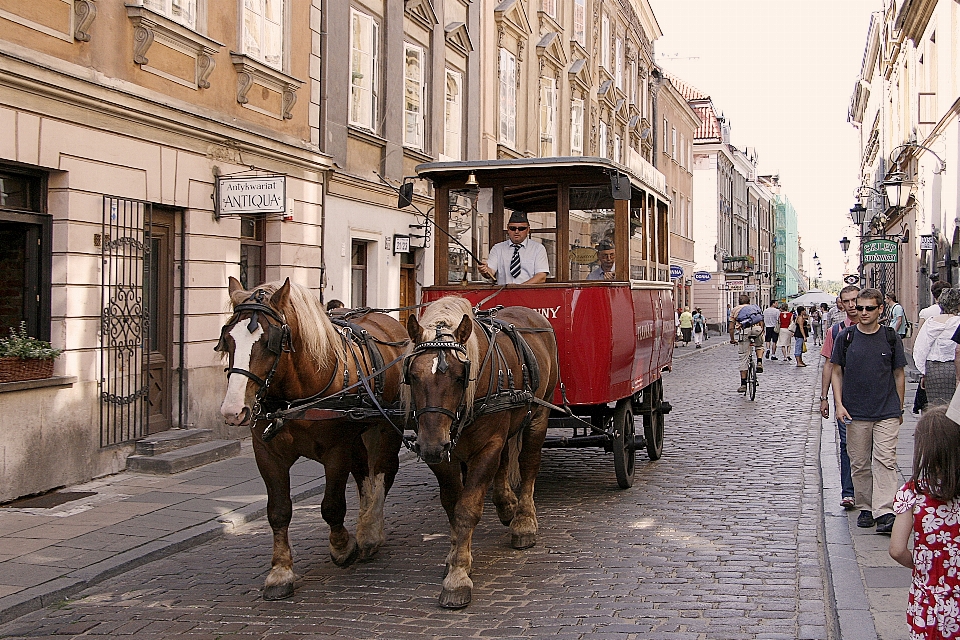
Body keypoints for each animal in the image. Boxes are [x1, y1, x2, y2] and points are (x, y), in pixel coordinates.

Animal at [219, 276, 406, 600]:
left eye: (269, 342)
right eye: (228, 339)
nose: (233, 411)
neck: (295, 396)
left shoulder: (336, 451)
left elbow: (332, 505)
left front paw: (342, 547)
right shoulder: (266, 453)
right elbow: (278, 511)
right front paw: (280, 573)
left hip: (387, 426)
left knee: (383, 472)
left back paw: (370, 532)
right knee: (364, 476)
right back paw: (364, 525)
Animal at [404, 298, 564, 608]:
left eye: (459, 377)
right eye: (413, 376)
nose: (431, 446)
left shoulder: (487, 445)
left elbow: (467, 509)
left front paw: (457, 578)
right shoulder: (445, 457)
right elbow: (452, 506)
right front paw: (456, 557)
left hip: (539, 413)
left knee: (528, 464)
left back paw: (523, 521)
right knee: (504, 463)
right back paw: (506, 506)